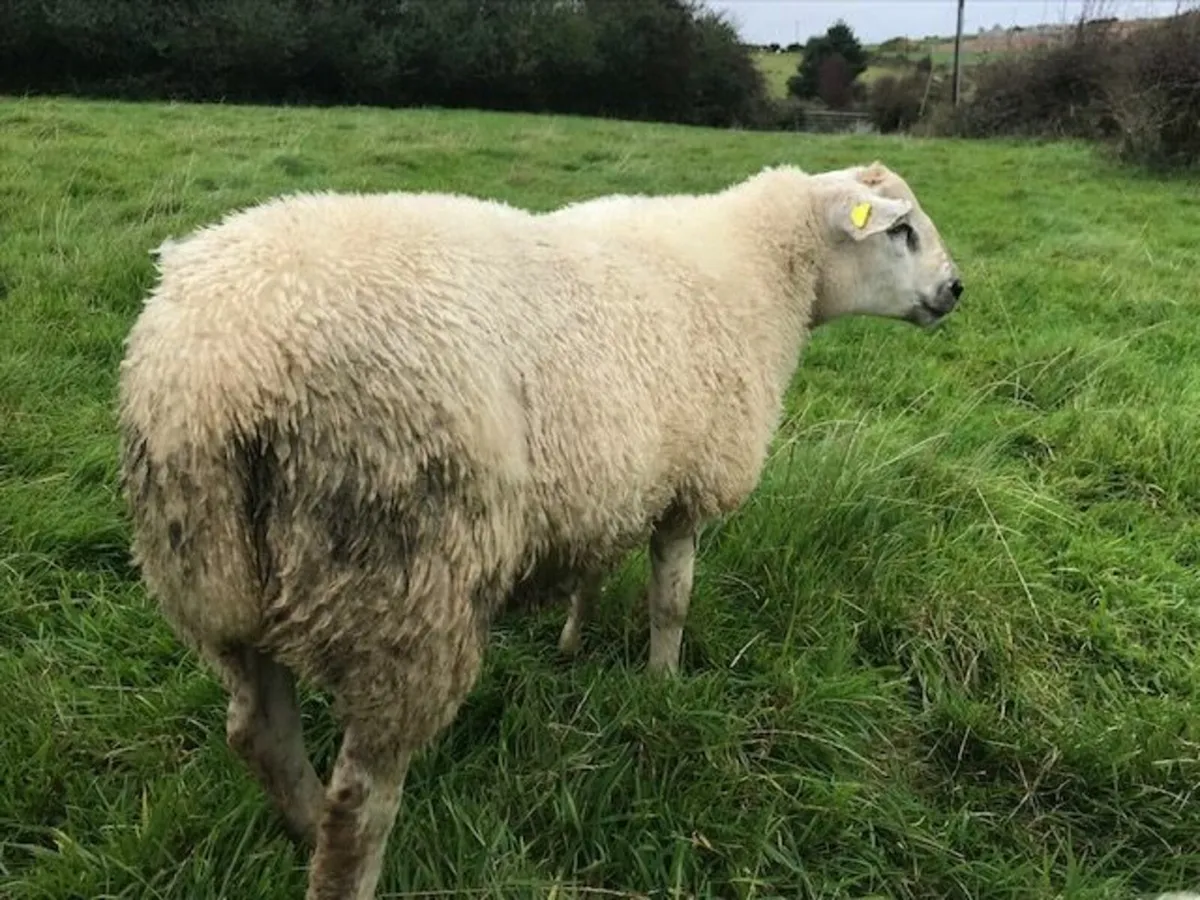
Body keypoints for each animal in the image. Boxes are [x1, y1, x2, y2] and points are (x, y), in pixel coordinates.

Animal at [116, 160, 963, 900]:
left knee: (258, 731)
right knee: (362, 799)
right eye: (901, 232)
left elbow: (593, 574)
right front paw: (662, 689)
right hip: (404, 593)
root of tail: (216, 380)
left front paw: (571, 643)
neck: (761, 275)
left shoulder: (610, 479)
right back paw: (349, 855)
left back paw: (299, 822)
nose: (955, 290)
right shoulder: (687, 488)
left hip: (216, 584)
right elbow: (671, 603)